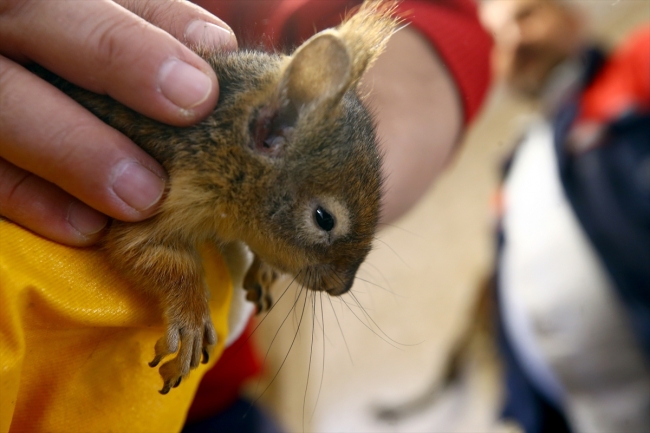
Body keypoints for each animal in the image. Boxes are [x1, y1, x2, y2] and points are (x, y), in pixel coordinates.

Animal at [35, 0, 398, 392]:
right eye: (323, 219)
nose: (341, 288)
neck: (221, 144)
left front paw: (264, 268)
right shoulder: (164, 196)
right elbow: (152, 254)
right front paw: (193, 320)